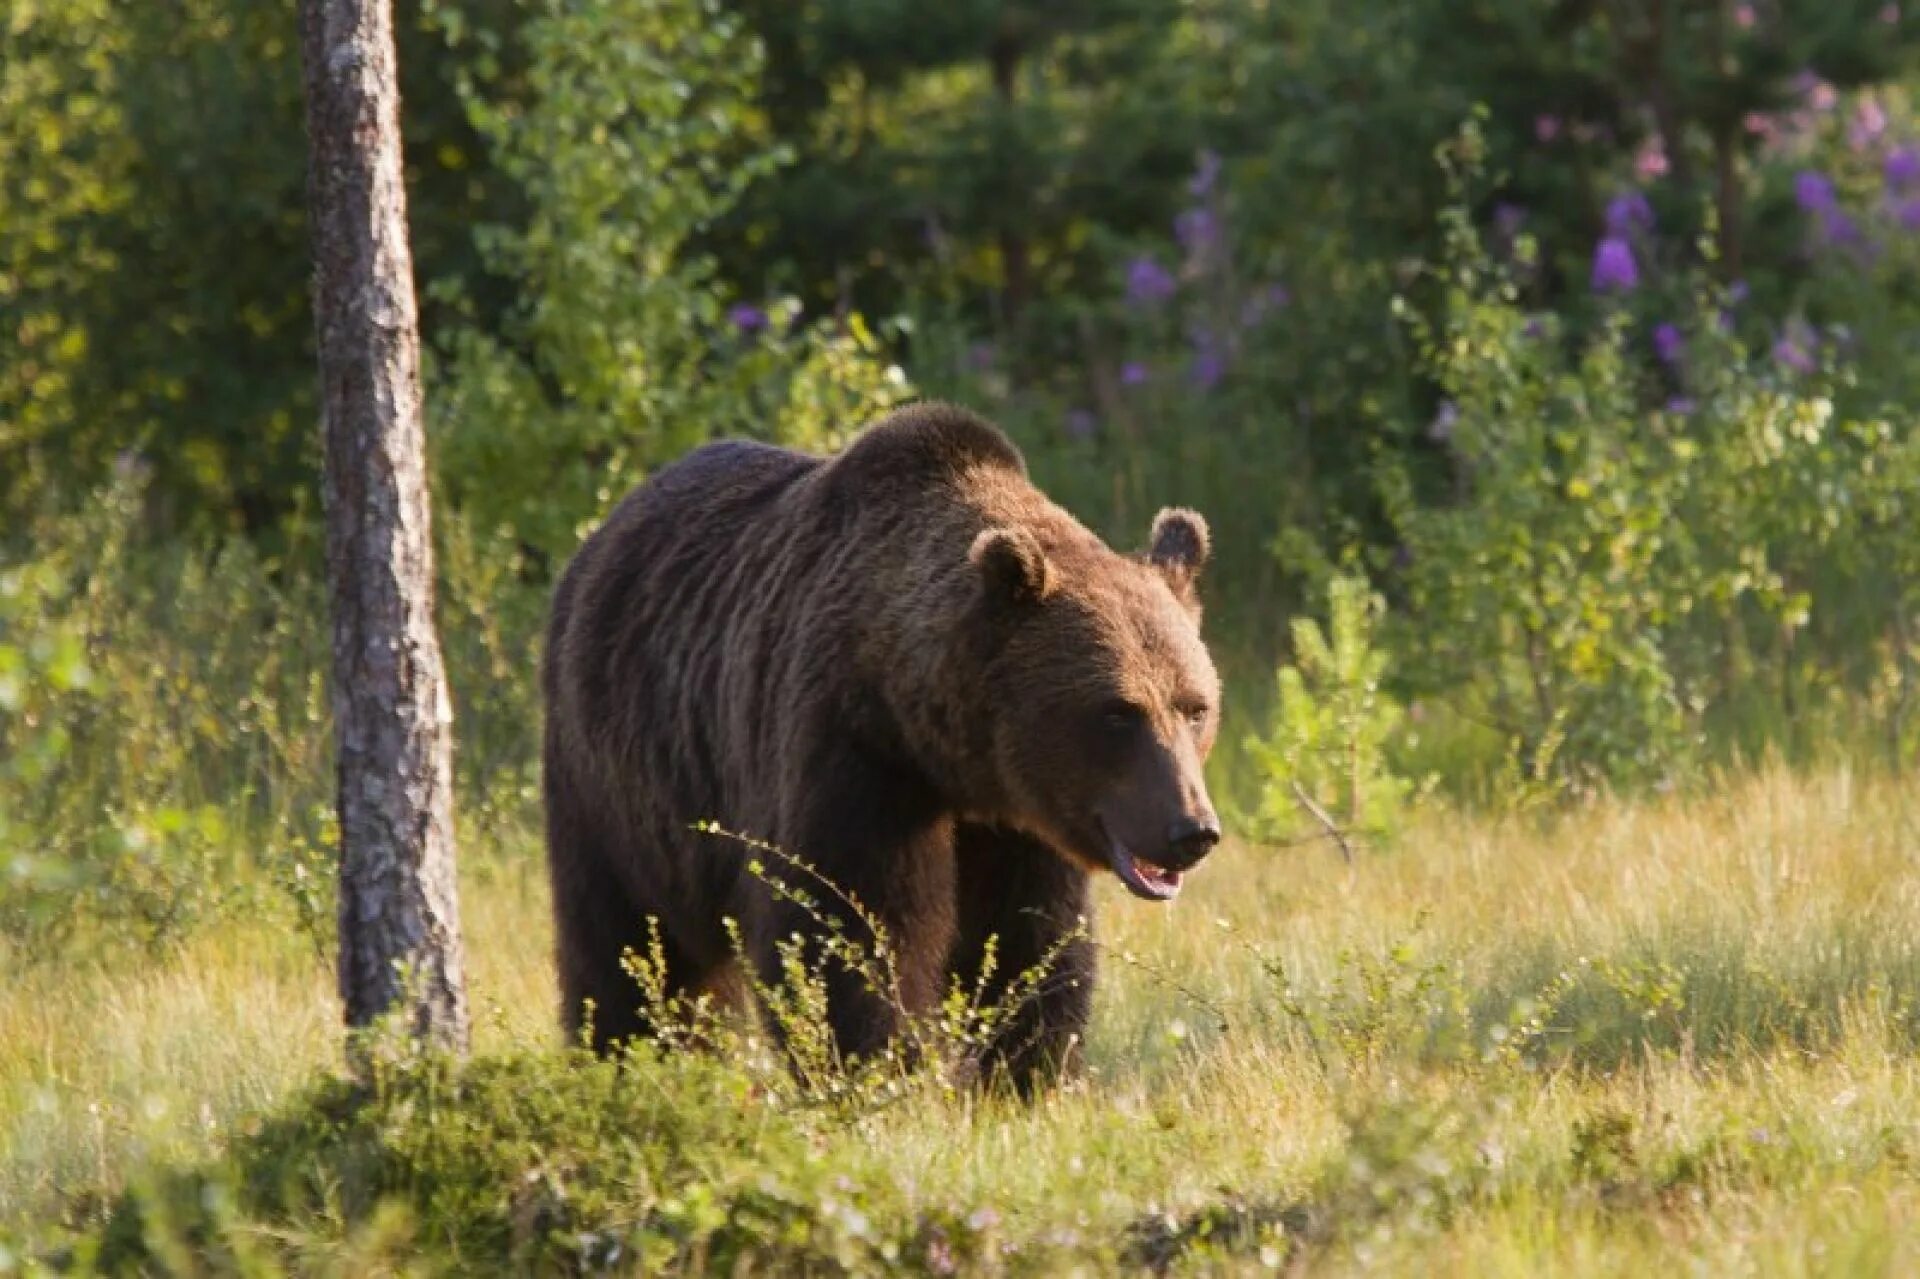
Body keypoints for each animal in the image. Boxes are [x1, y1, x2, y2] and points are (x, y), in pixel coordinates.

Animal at [541, 401, 1221, 1083]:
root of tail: (602, 535)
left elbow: (1030, 937)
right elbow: (851, 929)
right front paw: (880, 1068)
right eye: (1118, 713)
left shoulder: (1021, 822)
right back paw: (626, 1055)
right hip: (618, 783)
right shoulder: (852, 754)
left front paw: (1029, 1069)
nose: (1191, 829)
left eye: (1195, 707)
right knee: (625, 942)